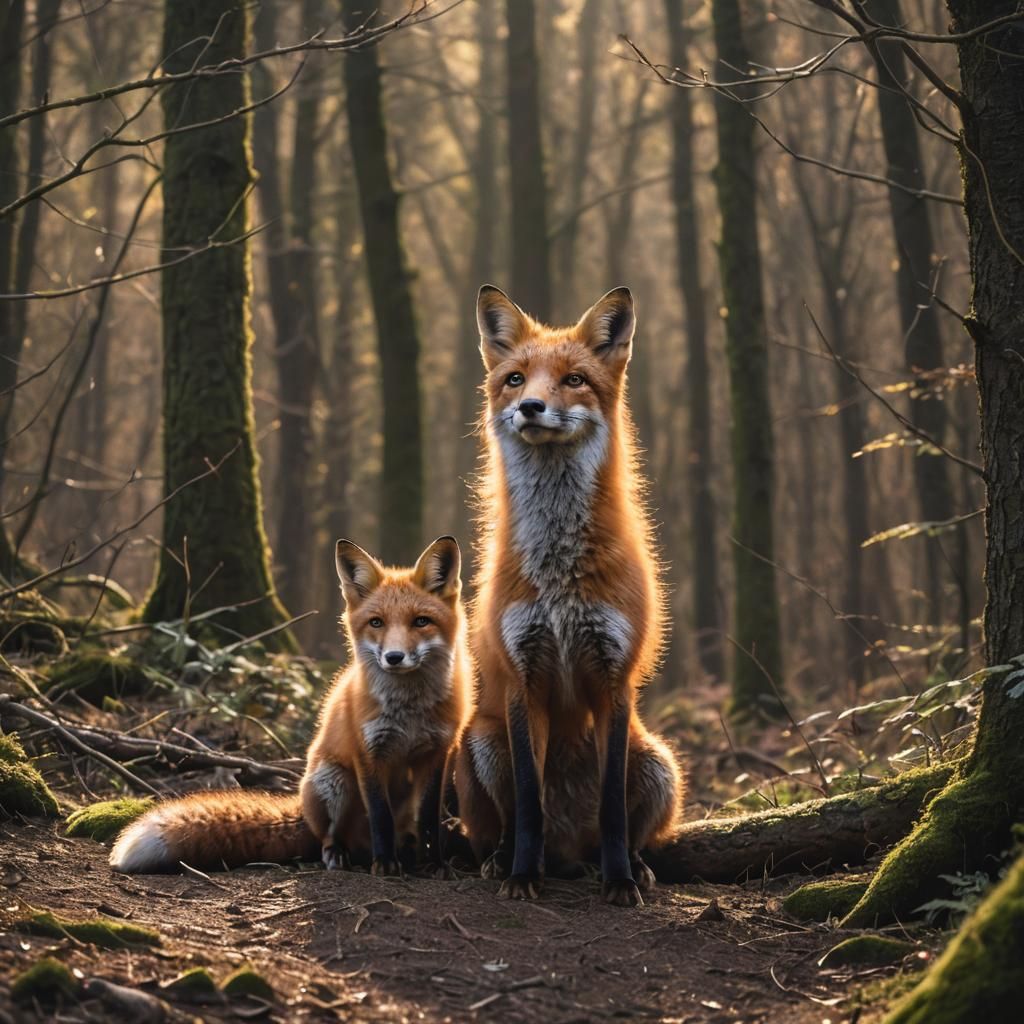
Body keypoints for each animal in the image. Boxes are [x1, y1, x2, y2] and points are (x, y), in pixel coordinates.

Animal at [110, 536, 471, 876]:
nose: (394, 658)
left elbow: (429, 818)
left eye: (421, 621)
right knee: (330, 836)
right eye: (376, 623)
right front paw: (384, 864)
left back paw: (408, 851)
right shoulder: (369, 753)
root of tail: (302, 811)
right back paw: (341, 854)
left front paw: (435, 863)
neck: (409, 710)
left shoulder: (438, 753)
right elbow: (380, 816)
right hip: (332, 781)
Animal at [455, 285, 684, 907]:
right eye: (515, 379)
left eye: (574, 379)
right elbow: (529, 801)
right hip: (481, 743)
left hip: (658, 762)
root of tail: (568, 850)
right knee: (504, 824)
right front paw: (521, 876)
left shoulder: (613, 678)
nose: (531, 407)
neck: (558, 577)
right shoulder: (522, 679)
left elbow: (611, 807)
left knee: (627, 824)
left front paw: (620, 881)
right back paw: (505, 860)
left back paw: (628, 865)